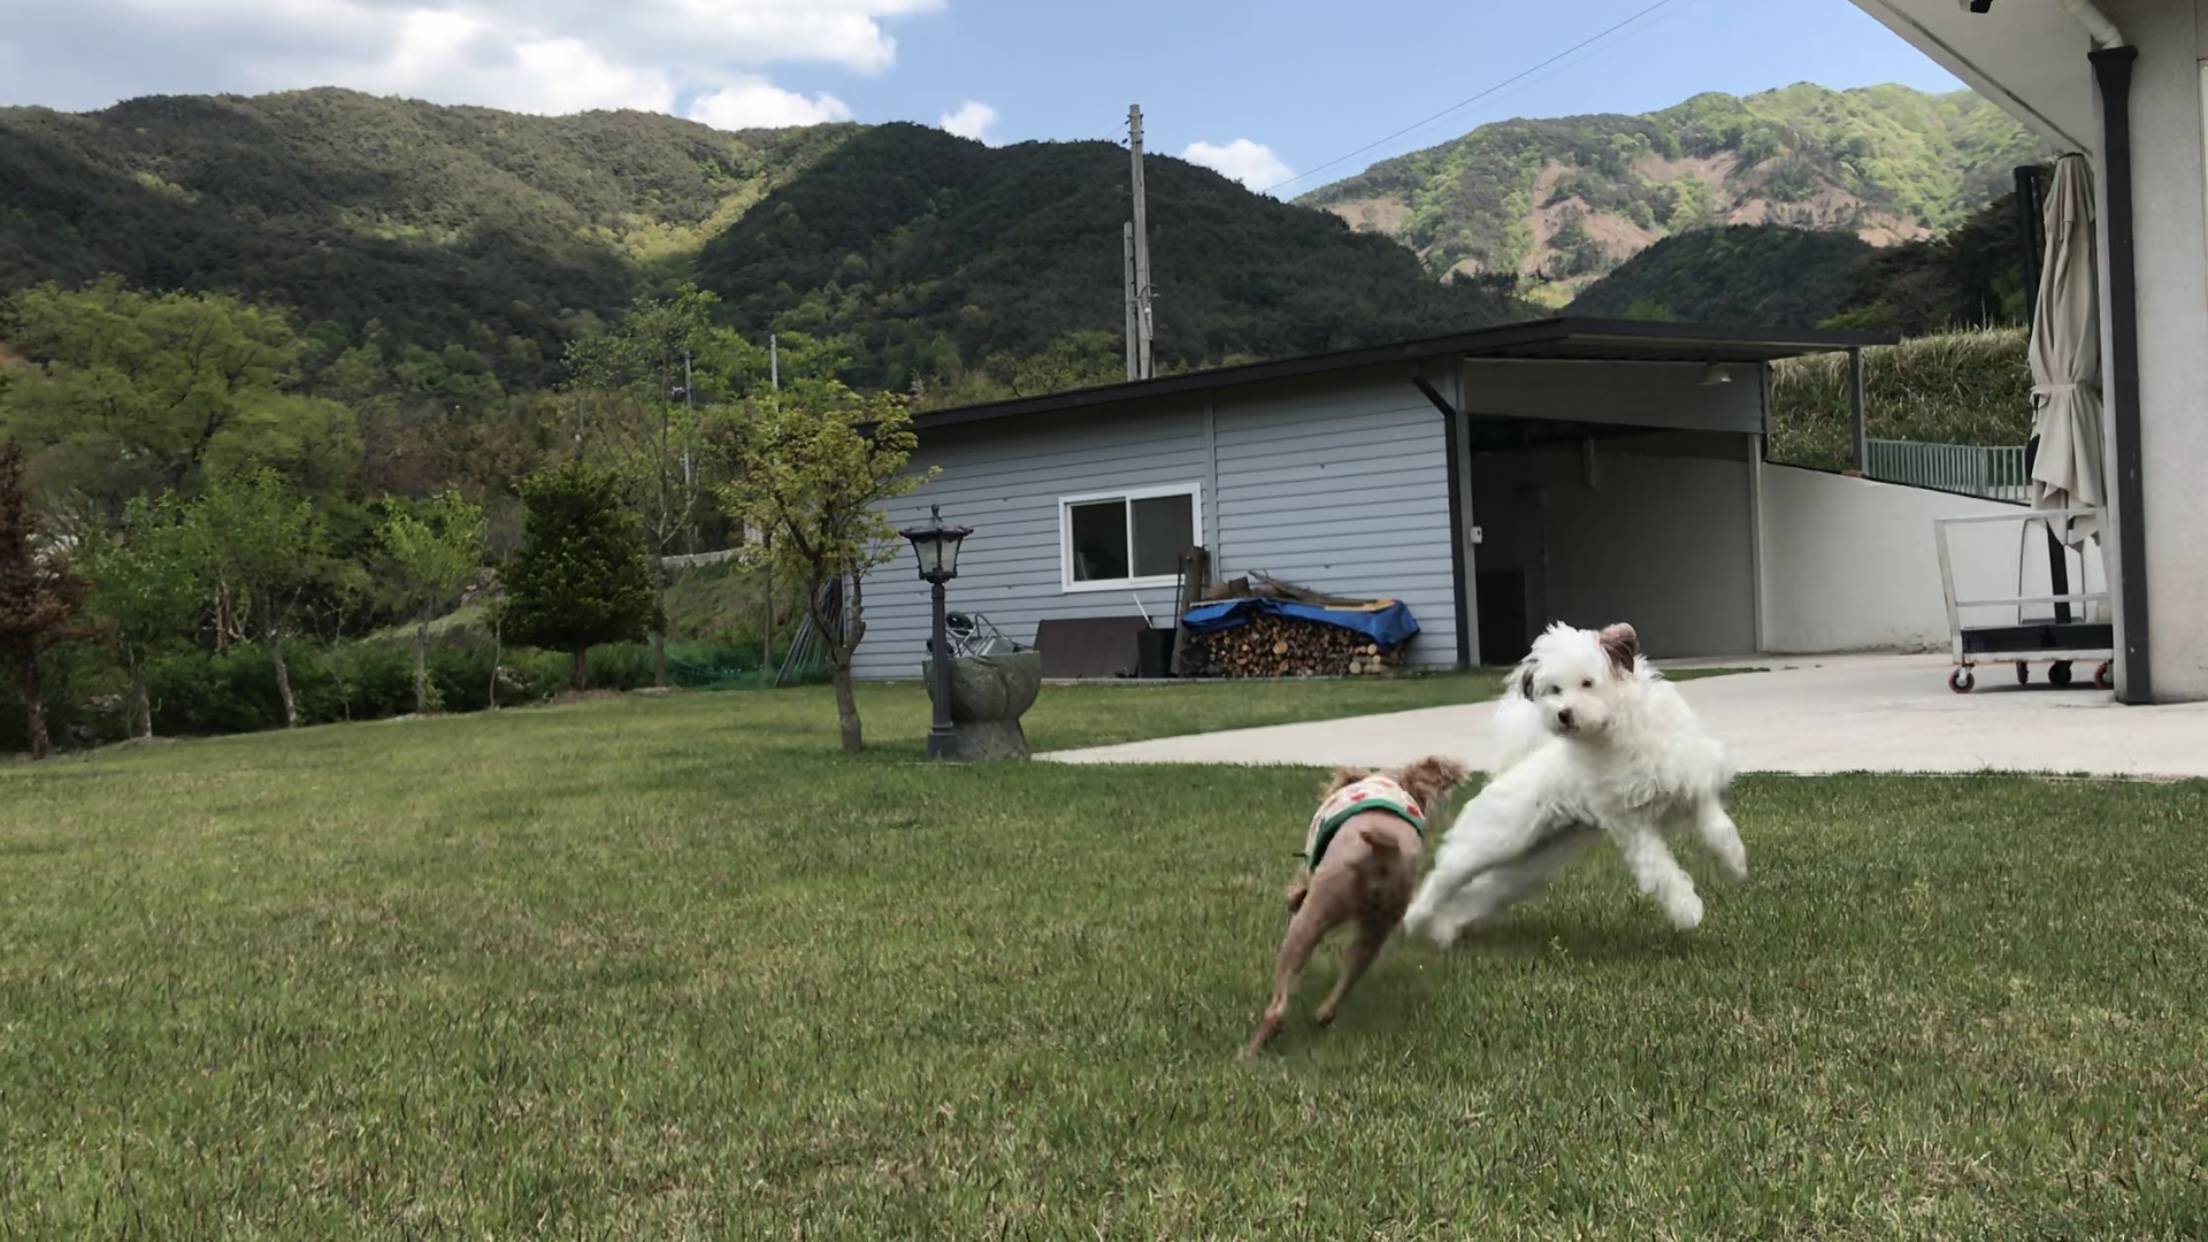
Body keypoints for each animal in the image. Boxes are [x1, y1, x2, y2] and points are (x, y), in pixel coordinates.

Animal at [1245, 751, 1466, 1047]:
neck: (1389, 779)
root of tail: (1385, 851)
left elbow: (1297, 887)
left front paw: (1293, 896)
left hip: (1314, 913)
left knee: (1279, 1005)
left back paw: (1253, 1048)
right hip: (1381, 922)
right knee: (1353, 970)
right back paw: (1324, 1014)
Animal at [1404, 618, 1748, 937]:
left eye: (1587, 683)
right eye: (1555, 690)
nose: (1564, 714)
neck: (1616, 733)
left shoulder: (1692, 781)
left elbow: (1717, 825)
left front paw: (1736, 862)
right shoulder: (1630, 824)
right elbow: (1659, 869)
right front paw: (1687, 910)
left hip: (1529, 863)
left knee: (1482, 891)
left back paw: (1443, 929)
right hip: (1493, 841)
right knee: (1444, 874)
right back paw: (1414, 918)